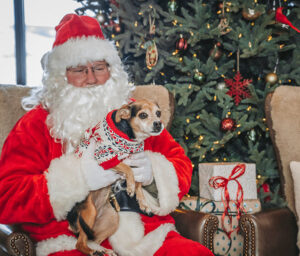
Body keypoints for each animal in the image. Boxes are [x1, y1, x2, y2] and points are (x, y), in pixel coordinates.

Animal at [67, 99, 163, 256]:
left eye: (158, 113)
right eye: (143, 115)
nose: (158, 124)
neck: (131, 138)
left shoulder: (137, 161)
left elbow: (138, 181)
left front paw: (142, 201)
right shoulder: (105, 157)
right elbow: (127, 169)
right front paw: (130, 187)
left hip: (112, 218)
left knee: (93, 239)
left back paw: (103, 250)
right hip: (89, 212)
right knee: (79, 243)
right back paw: (92, 251)